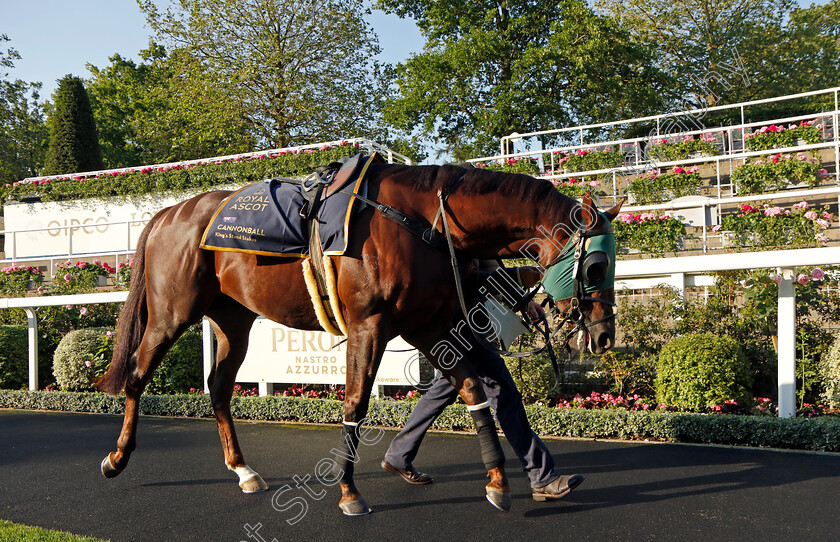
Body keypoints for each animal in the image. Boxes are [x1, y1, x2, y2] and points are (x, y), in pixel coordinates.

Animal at [98, 160, 620, 516]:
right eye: (596, 265)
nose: (603, 336)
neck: (423, 222)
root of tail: (169, 212)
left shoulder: (426, 325)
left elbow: (474, 392)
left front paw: (498, 482)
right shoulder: (369, 325)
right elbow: (355, 403)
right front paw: (349, 493)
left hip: (233, 319)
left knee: (220, 387)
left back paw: (244, 470)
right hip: (170, 314)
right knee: (137, 375)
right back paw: (117, 458)